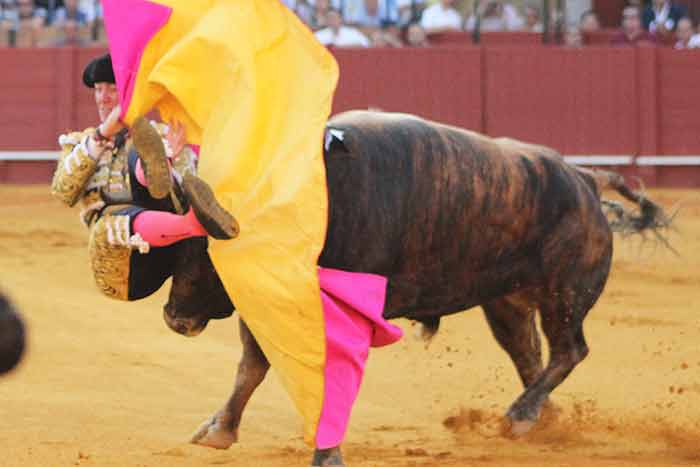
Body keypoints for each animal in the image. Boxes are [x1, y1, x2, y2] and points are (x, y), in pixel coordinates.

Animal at [159, 110, 668, 467]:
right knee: (530, 355)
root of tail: (585, 178)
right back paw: (543, 417)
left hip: (564, 295)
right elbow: (252, 366)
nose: (174, 317)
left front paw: (326, 453)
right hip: (506, 302)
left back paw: (522, 416)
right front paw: (219, 430)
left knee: (570, 350)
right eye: (178, 246)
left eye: (206, 252)